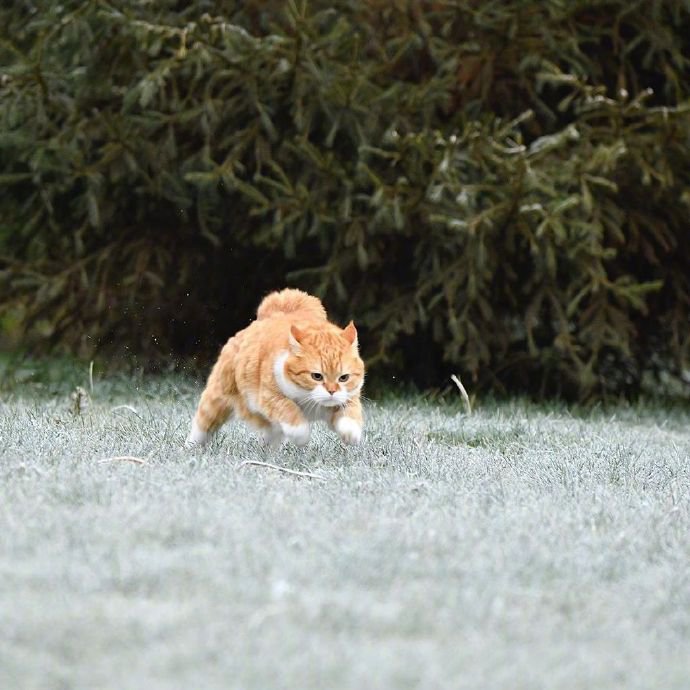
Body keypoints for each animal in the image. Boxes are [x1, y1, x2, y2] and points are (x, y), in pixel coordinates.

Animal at [185, 284, 362, 446]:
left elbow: (350, 413)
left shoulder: (349, 398)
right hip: (217, 398)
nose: (332, 391)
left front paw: (351, 434)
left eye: (344, 378)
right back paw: (191, 448)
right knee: (202, 425)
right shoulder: (269, 397)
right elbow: (289, 410)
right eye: (316, 376)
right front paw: (302, 436)